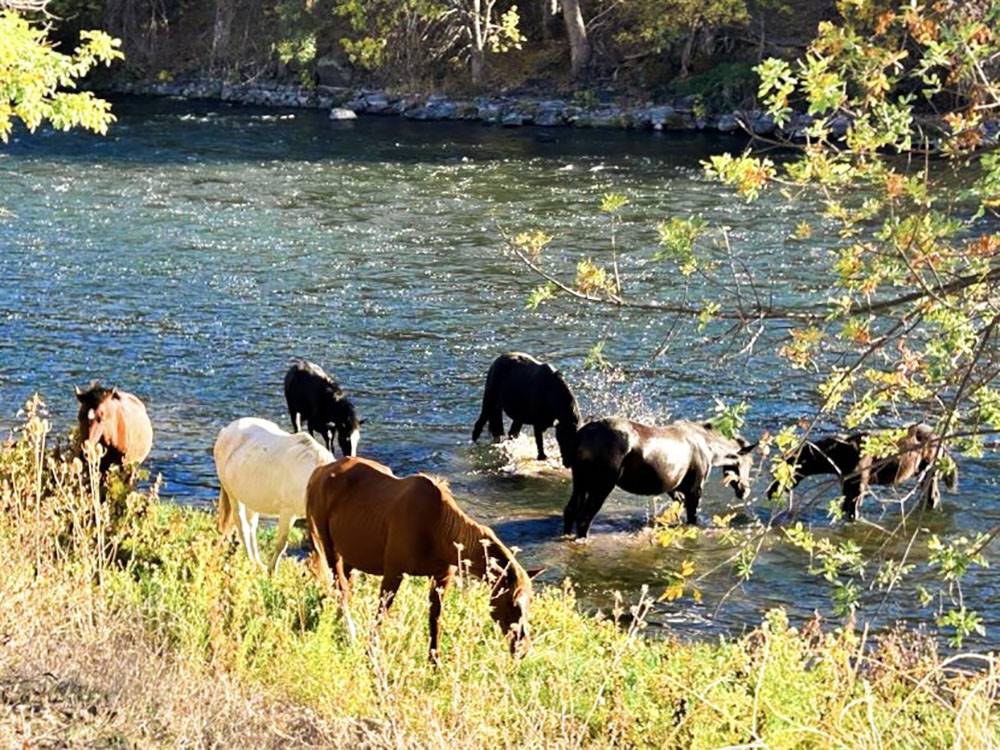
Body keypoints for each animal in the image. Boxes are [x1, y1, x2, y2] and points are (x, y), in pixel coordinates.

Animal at [213, 418, 334, 576]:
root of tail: (225, 431)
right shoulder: (288, 513)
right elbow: (281, 543)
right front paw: (272, 572)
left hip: (252, 500)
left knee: (251, 528)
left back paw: (257, 563)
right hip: (233, 495)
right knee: (242, 527)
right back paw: (252, 562)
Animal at [308, 458, 540, 664]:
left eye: (530, 602)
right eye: (512, 603)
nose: (523, 648)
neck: (437, 529)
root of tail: (319, 472)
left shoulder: (442, 578)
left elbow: (435, 621)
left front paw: (434, 664)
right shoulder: (393, 573)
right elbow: (381, 614)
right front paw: (370, 655)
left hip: (350, 555)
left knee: (345, 587)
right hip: (329, 547)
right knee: (340, 588)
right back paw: (350, 633)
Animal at [564, 418, 756, 540]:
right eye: (748, 462)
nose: (745, 490)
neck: (712, 451)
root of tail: (581, 437)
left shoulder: (673, 487)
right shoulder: (694, 489)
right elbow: (692, 519)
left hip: (580, 481)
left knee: (570, 511)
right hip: (602, 485)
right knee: (584, 519)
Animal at [764, 424, 960, 524]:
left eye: (778, 474)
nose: (769, 492)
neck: (838, 458)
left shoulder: (858, 485)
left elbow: (853, 513)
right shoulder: (847, 484)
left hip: (931, 470)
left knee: (933, 496)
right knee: (930, 497)